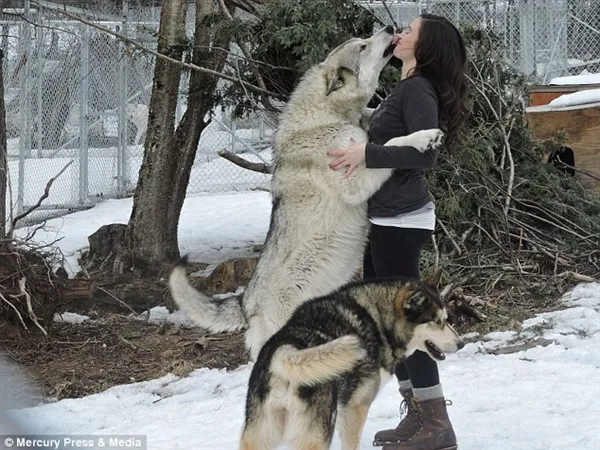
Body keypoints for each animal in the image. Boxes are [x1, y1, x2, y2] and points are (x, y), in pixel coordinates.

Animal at [166, 25, 442, 362]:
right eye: (363, 46)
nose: (390, 28)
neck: (329, 116)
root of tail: (245, 303)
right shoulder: (355, 179)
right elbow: (390, 144)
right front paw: (424, 136)